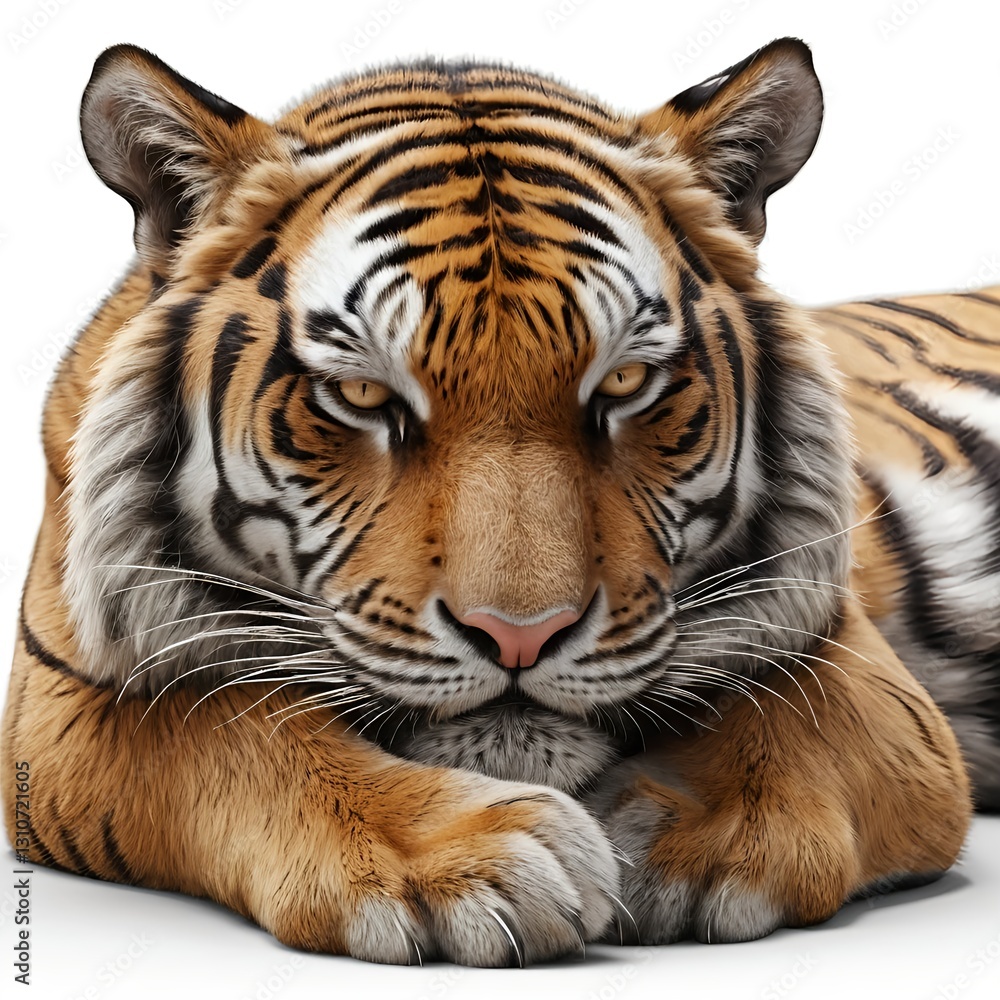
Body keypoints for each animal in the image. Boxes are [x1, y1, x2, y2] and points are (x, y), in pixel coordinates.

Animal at [1, 36, 994, 967]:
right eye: (362, 396)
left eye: (625, 383)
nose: (522, 636)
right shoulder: (71, 695)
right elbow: (225, 723)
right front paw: (470, 863)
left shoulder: (853, 660)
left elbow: (787, 714)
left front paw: (683, 838)